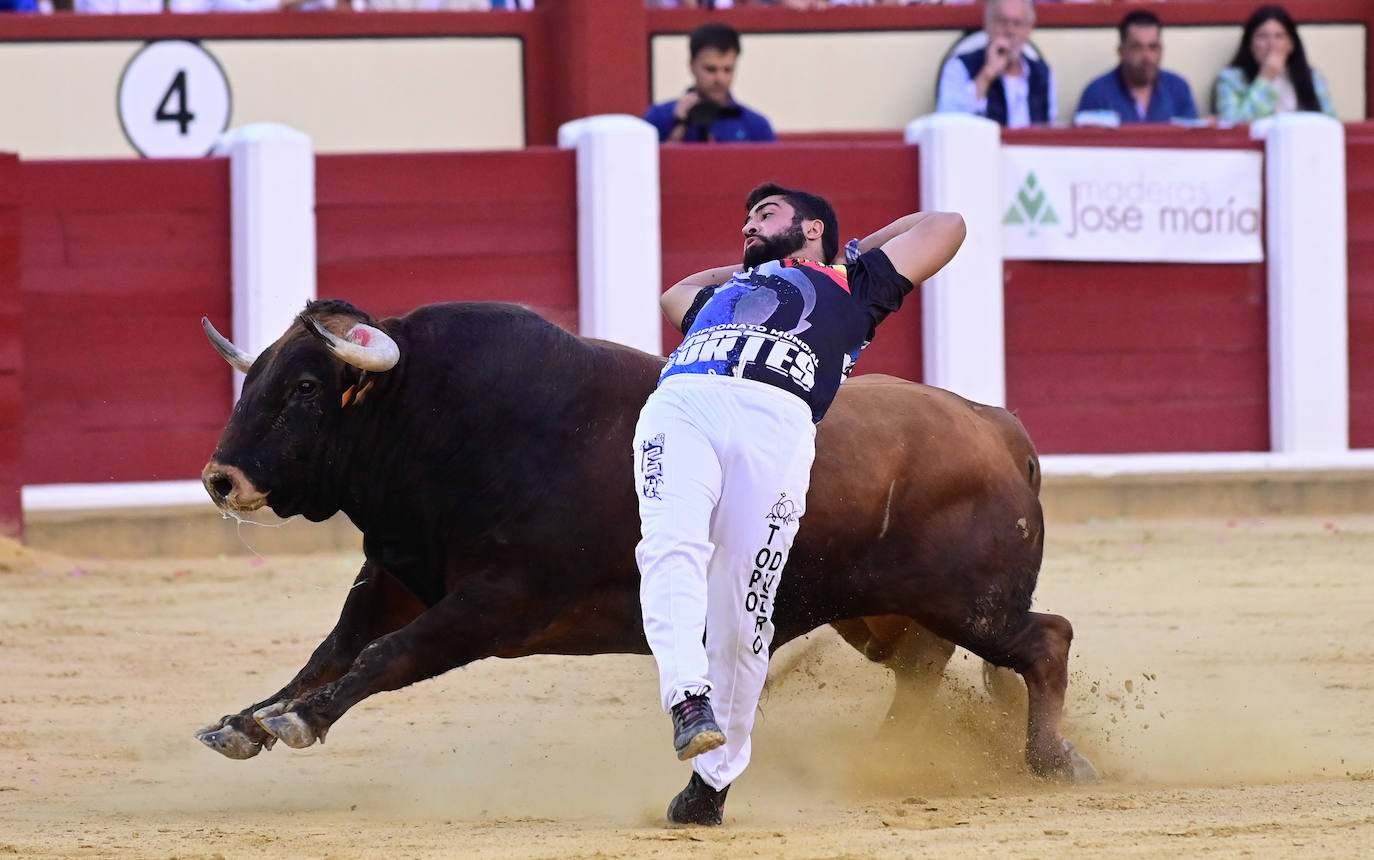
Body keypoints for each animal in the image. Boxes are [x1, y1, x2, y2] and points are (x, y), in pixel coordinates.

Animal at [193, 299, 1093, 785]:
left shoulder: (497, 603)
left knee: (1046, 639)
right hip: (882, 612)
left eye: (304, 388)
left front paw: (299, 722)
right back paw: (887, 757)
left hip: (968, 601)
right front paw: (248, 720)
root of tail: (997, 425)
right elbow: (333, 651)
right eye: (256, 377)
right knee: (923, 667)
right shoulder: (399, 575)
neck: (443, 418)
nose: (220, 478)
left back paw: (1052, 760)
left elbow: (385, 656)